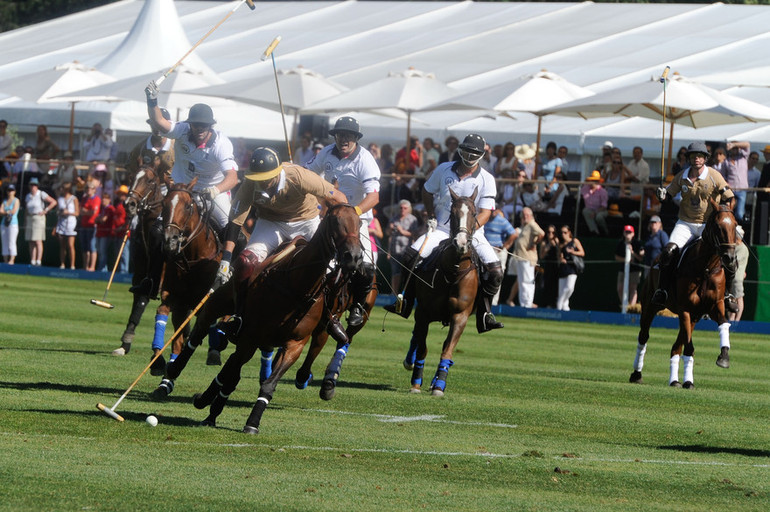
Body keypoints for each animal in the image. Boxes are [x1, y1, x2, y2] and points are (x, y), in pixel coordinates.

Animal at [148, 180, 219, 396]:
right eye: (164, 204)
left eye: (188, 206)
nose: (170, 240)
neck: (193, 260)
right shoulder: (176, 300)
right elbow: (164, 317)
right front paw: (158, 364)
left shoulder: (204, 304)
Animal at [190, 202, 362, 434]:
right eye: (335, 221)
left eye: (359, 222)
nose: (354, 256)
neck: (297, 285)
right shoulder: (250, 337)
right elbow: (232, 375)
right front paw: (208, 402)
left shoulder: (294, 344)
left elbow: (268, 383)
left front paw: (252, 423)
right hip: (220, 306)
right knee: (200, 334)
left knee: (231, 369)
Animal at [400, 188, 476, 396]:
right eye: (453, 213)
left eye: (474, 214)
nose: (461, 243)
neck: (453, 270)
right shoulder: (424, 312)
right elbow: (423, 348)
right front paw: (416, 383)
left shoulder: (460, 315)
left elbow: (447, 350)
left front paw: (440, 385)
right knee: (416, 336)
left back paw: (435, 381)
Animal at [632, 200, 736, 388]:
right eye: (718, 226)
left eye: (736, 225)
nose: (729, 258)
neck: (705, 268)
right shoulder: (685, 309)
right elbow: (689, 348)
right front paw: (689, 381)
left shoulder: (714, 306)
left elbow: (724, 324)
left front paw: (723, 357)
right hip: (650, 306)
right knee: (643, 337)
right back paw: (636, 374)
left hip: (694, 316)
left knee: (675, 346)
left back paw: (674, 380)